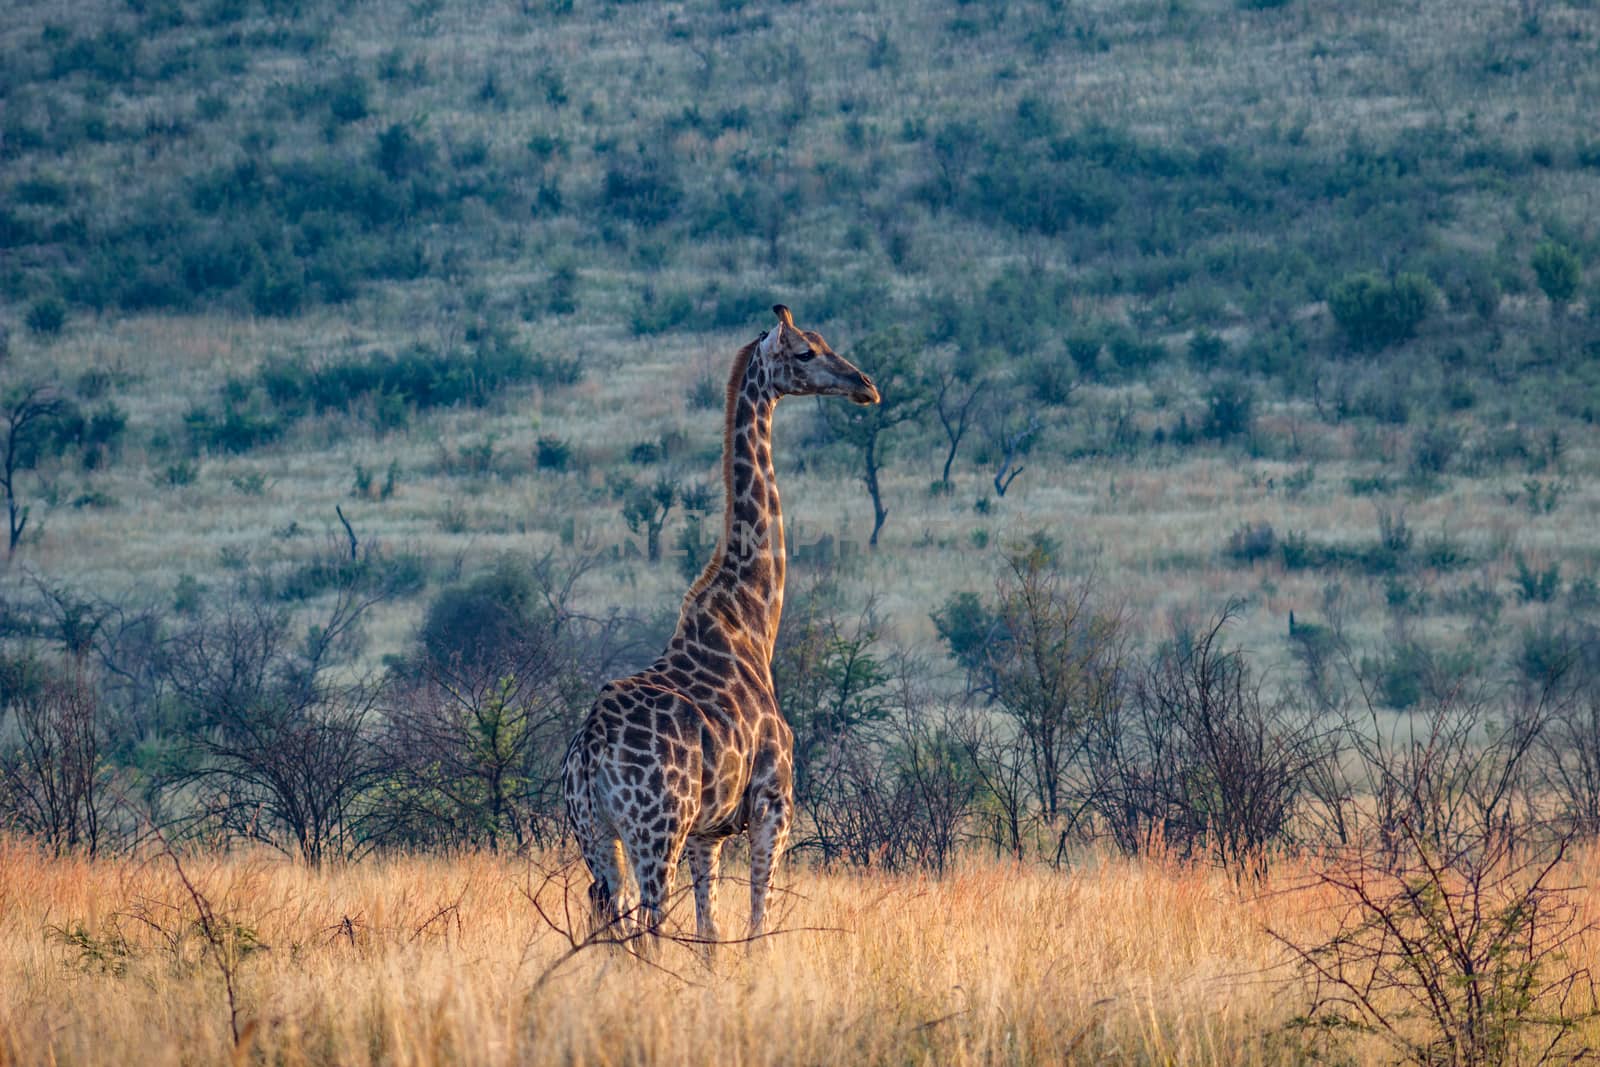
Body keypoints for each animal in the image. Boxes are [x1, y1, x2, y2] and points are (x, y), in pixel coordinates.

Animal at [563, 303, 883, 947]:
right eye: (806, 351)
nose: (866, 385)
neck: (752, 622)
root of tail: (588, 752)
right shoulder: (773, 803)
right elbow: (757, 922)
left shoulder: (708, 833)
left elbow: (710, 932)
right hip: (655, 829)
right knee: (650, 924)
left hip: (596, 835)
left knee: (609, 917)